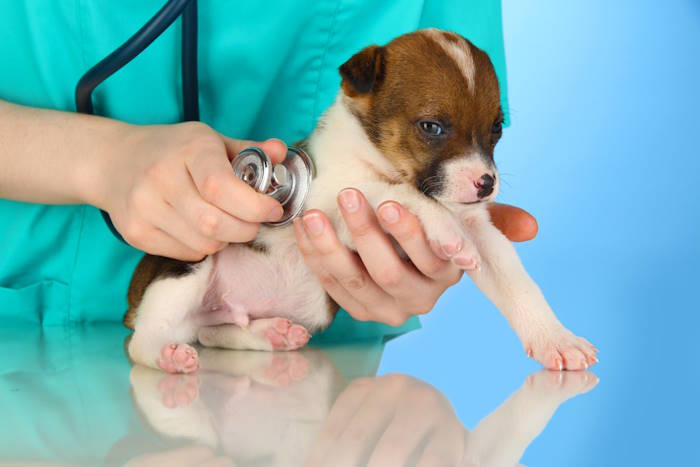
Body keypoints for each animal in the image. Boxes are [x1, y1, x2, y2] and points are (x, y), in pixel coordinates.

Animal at [124, 28, 596, 372]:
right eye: (432, 127)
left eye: (496, 127)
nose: (486, 184)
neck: (377, 159)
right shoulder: (331, 201)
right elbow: (398, 194)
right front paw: (442, 228)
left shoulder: (483, 234)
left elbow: (521, 287)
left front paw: (555, 338)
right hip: (188, 265)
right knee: (142, 341)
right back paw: (164, 354)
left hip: (275, 311)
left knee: (211, 330)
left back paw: (268, 334)